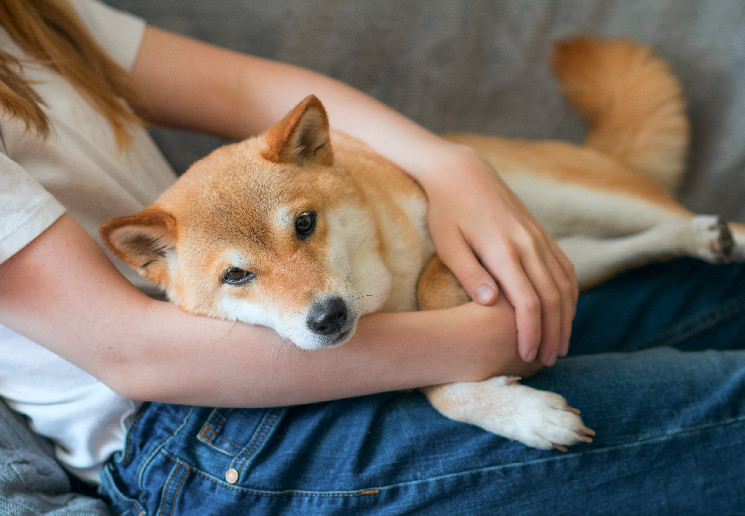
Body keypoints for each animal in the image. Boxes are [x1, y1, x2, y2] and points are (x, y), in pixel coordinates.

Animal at [100, 39, 744, 452]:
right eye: (235, 275)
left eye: (304, 224)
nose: (327, 317)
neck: (382, 289)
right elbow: (438, 385)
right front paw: (523, 415)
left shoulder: (465, 251)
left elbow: (436, 284)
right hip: (573, 258)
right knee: (642, 242)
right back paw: (699, 238)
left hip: (584, 200)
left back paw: (718, 233)